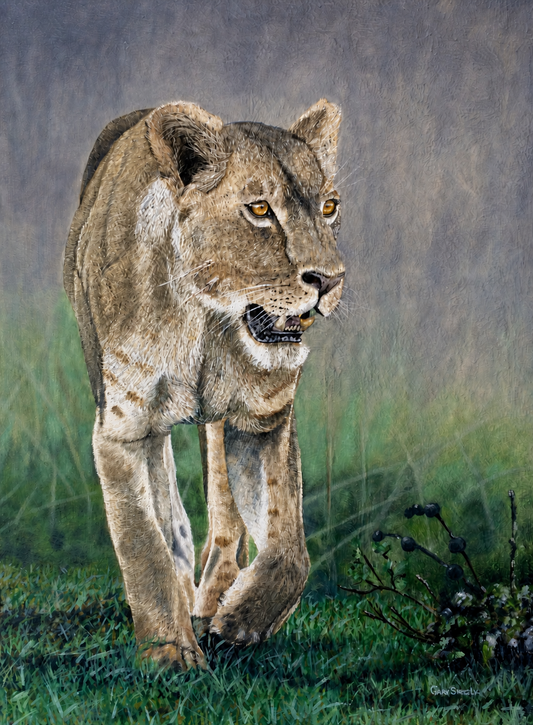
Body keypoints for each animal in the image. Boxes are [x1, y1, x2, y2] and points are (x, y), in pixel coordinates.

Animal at [64, 99, 345, 669]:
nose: (329, 280)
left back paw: (215, 598)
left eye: (329, 207)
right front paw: (170, 653)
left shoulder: (264, 418)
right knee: (171, 514)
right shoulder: (122, 429)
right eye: (259, 210)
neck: (208, 323)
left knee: (226, 517)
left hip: (221, 425)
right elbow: (144, 541)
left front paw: (239, 623)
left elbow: (289, 548)